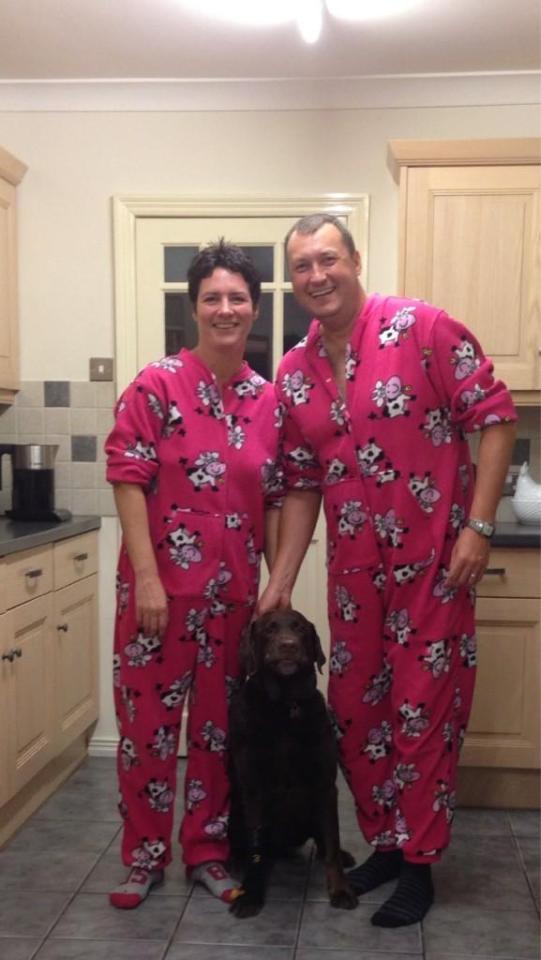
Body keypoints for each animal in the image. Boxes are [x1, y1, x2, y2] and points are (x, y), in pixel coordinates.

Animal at [226, 612, 356, 920]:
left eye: (300, 629)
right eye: (269, 629)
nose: (288, 646)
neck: (286, 705)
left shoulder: (325, 788)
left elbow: (332, 842)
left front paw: (340, 890)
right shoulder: (254, 790)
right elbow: (256, 851)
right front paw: (250, 894)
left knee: (323, 841)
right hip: (236, 809)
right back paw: (237, 860)